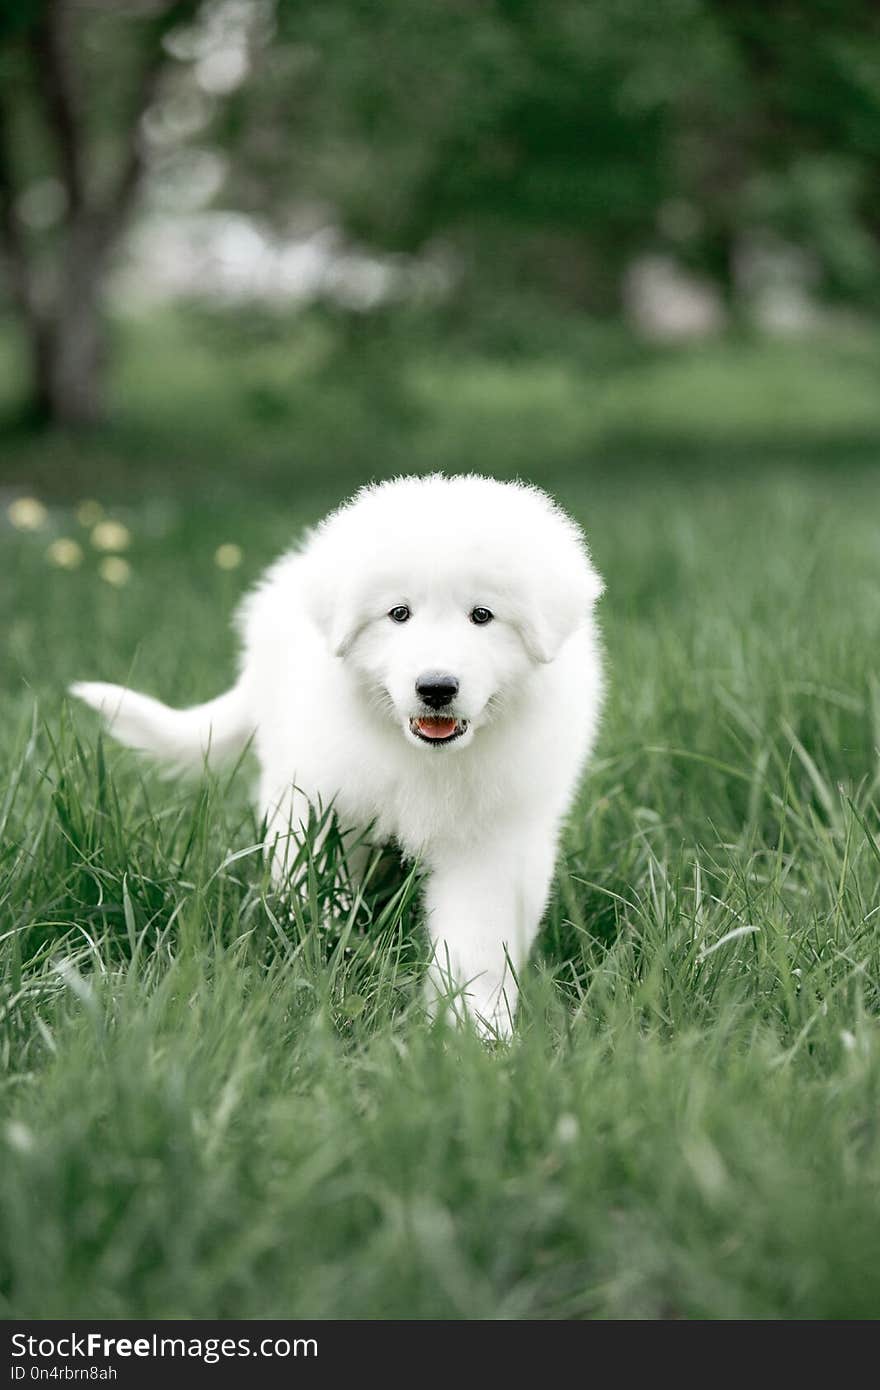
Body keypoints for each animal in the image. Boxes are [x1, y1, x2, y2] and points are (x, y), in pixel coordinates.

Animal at [71, 475, 600, 1034]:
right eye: (399, 613)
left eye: (482, 615)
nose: (436, 688)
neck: (423, 757)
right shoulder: (317, 801)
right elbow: (313, 884)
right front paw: (328, 955)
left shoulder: (493, 839)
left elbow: (476, 939)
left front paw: (474, 1029)